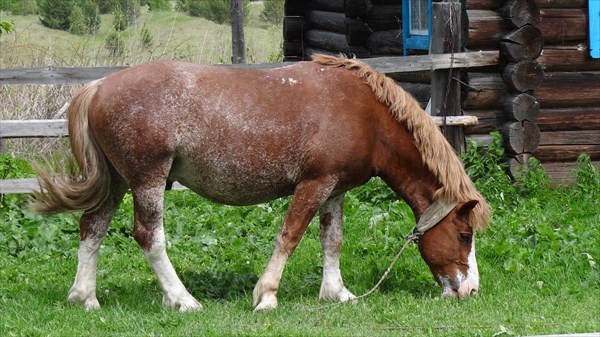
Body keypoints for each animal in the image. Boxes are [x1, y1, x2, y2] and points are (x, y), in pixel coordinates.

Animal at [32, 54, 490, 310]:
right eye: (464, 235)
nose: (470, 290)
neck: (366, 115)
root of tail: (99, 86)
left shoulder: (335, 189)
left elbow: (332, 239)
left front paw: (336, 293)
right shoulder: (314, 184)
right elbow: (290, 235)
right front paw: (266, 296)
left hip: (116, 181)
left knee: (92, 227)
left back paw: (85, 298)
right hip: (147, 179)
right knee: (148, 236)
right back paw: (182, 300)